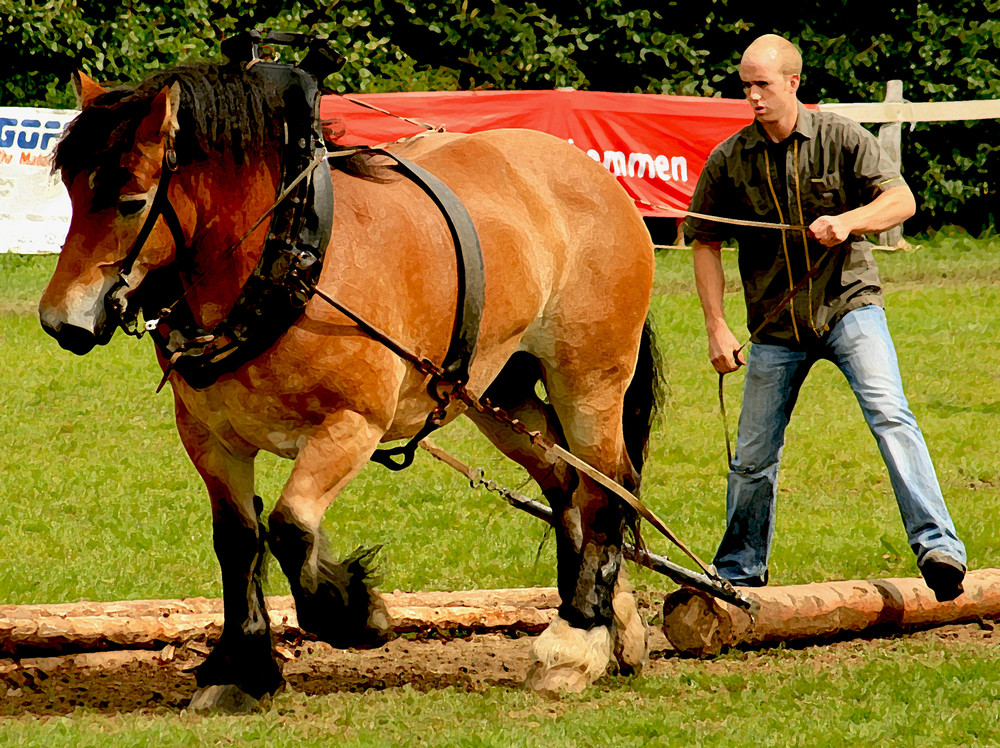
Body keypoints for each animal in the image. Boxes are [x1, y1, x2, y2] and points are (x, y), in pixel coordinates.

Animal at [41, 62, 664, 708]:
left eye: (131, 201)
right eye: (70, 191)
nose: (62, 322)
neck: (288, 260)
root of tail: (597, 176)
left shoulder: (351, 426)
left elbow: (290, 527)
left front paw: (356, 613)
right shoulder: (210, 436)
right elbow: (238, 539)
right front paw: (243, 667)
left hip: (589, 378)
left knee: (609, 487)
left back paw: (576, 641)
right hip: (496, 392)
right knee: (568, 483)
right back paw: (609, 623)